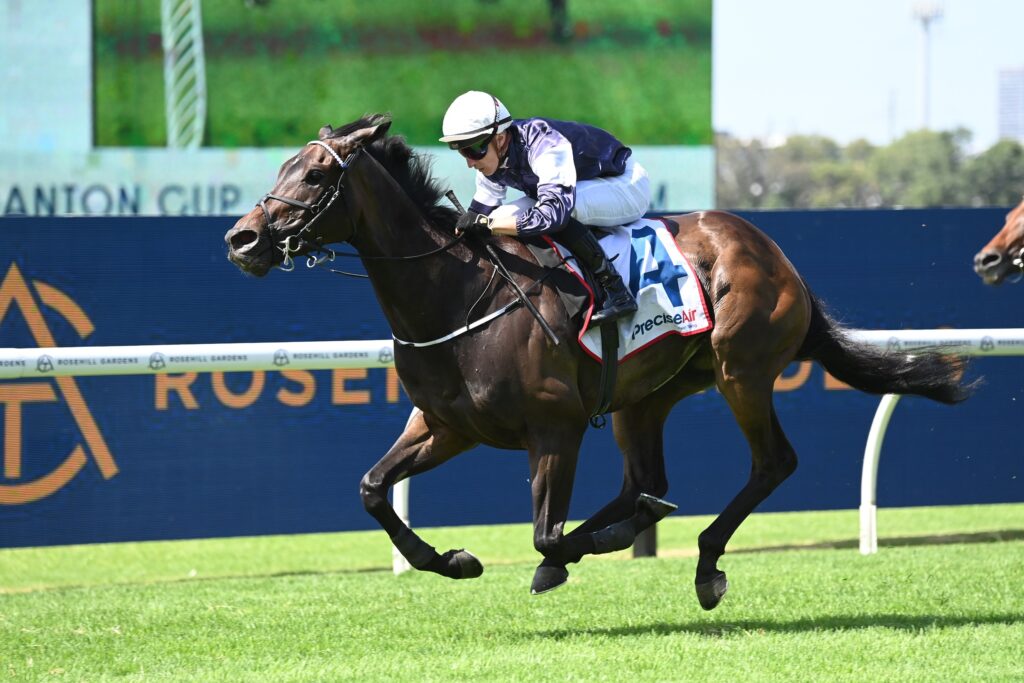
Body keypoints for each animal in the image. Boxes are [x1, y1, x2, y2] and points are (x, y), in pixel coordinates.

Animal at [224, 114, 973, 609]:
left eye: (316, 173)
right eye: (282, 167)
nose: (243, 239)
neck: (458, 294)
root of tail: (772, 250)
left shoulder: (552, 427)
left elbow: (544, 534)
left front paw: (566, 551)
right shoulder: (448, 425)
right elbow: (373, 489)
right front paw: (454, 560)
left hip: (741, 369)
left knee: (771, 463)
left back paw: (703, 562)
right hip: (647, 395)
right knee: (645, 479)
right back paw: (640, 517)